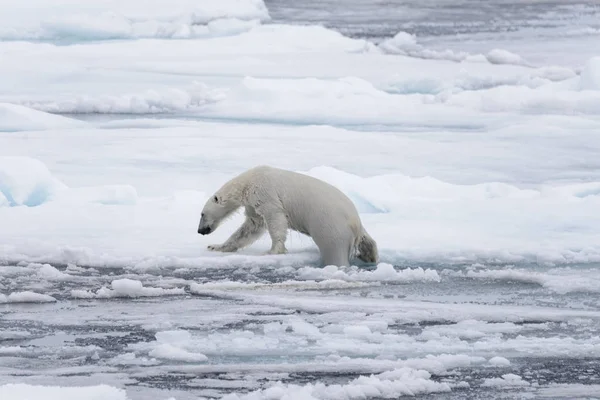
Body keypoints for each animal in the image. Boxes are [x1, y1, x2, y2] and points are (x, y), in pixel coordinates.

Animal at [198, 164, 380, 268]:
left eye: (202, 213)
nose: (200, 231)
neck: (247, 182)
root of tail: (355, 223)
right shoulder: (252, 204)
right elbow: (251, 227)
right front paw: (215, 246)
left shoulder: (264, 192)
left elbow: (275, 218)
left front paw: (272, 251)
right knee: (369, 242)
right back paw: (370, 257)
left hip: (331, 227)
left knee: (334, 251)